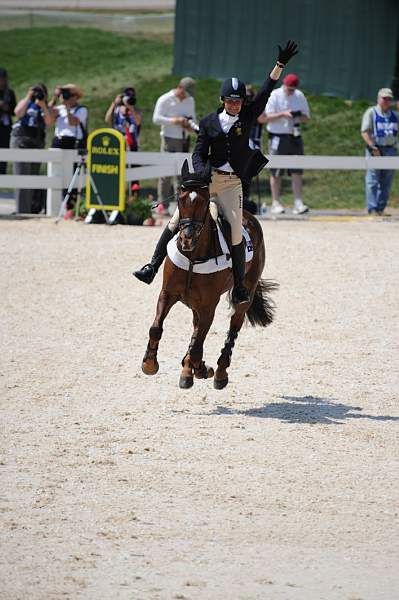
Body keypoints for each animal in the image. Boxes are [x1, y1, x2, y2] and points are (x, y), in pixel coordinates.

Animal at [141, 159, 278, 392]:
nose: (187, 239)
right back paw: (190, 369)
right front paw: (150, 364)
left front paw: (200, 369)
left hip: (244, 295)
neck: (193, 257)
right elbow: (156, 328)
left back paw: (218, 373)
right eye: (180, 199)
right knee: (197, 331)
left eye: (204, 202)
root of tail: (250, 217)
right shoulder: (167, 294)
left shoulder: (208, 305)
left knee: (232, 329)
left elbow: (197, 344)